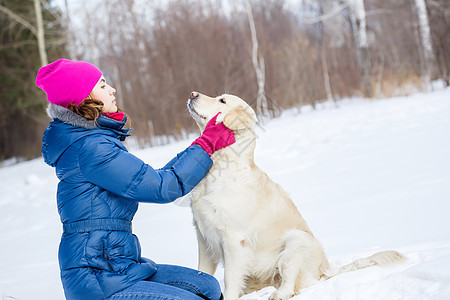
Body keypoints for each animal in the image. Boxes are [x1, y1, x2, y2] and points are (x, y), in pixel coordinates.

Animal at [186, 92, 404, 300]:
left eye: (222, 101)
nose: (192, 94)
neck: (217, 168)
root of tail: (324, 270)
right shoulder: (203, 237)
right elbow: (202, 273)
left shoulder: (234, 240)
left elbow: (230, 280)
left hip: (295, 241)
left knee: (290, 286)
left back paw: (278, 294)